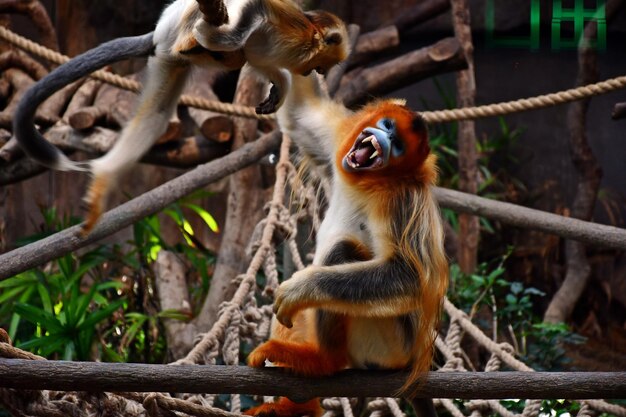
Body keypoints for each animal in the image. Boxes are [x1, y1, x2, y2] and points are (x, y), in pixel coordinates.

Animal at [14, 0, 348, 234]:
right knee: (220, 40)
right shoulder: (279, 21)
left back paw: (104, 178)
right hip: (181, 21)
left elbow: (259, 60)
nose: (319, 71)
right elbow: (251, 11)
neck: (306, 39)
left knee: (157, 115)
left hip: (167, 58)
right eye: (324, 64)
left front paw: (278, 87)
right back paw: (197, 39)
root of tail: (161, 31)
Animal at [244, 72, 448, 416]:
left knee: (340, 252)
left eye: (399, 146)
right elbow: (299, 111)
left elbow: (407, 276)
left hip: (387, 345)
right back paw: (296, 404)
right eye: (389, 126)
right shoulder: (336, 141)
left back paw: (322, 361)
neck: (372, 182)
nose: (386, 139)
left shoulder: (402, 200)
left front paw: (302, 288)